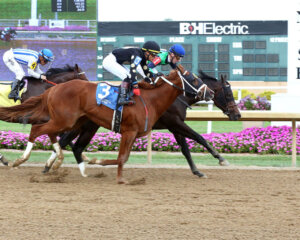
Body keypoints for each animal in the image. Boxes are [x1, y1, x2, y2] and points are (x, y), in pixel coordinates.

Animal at [0, 68, 213, 184]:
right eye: (194, 79)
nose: (210, 92)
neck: (150, 99)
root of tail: (52, 89)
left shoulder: (137, 132)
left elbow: (122, 158)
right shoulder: (131, 131)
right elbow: (121, 158)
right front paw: (116, 176)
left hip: (72, 122)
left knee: (64, 141)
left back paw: (67, 163)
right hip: (66, 121)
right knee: (38, 130)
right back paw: (19, 160)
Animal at [50, 70, 240, 178]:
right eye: (228, 94)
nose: (237, 114)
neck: (177, 96)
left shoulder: (175, 126)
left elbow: (185, 149)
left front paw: (196, 170)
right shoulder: (175, 123)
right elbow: (199, 137)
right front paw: (221, 159)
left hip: (86, 125)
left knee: (68, 142)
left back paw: (52, 166)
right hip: (87, 125)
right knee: (66, 141)